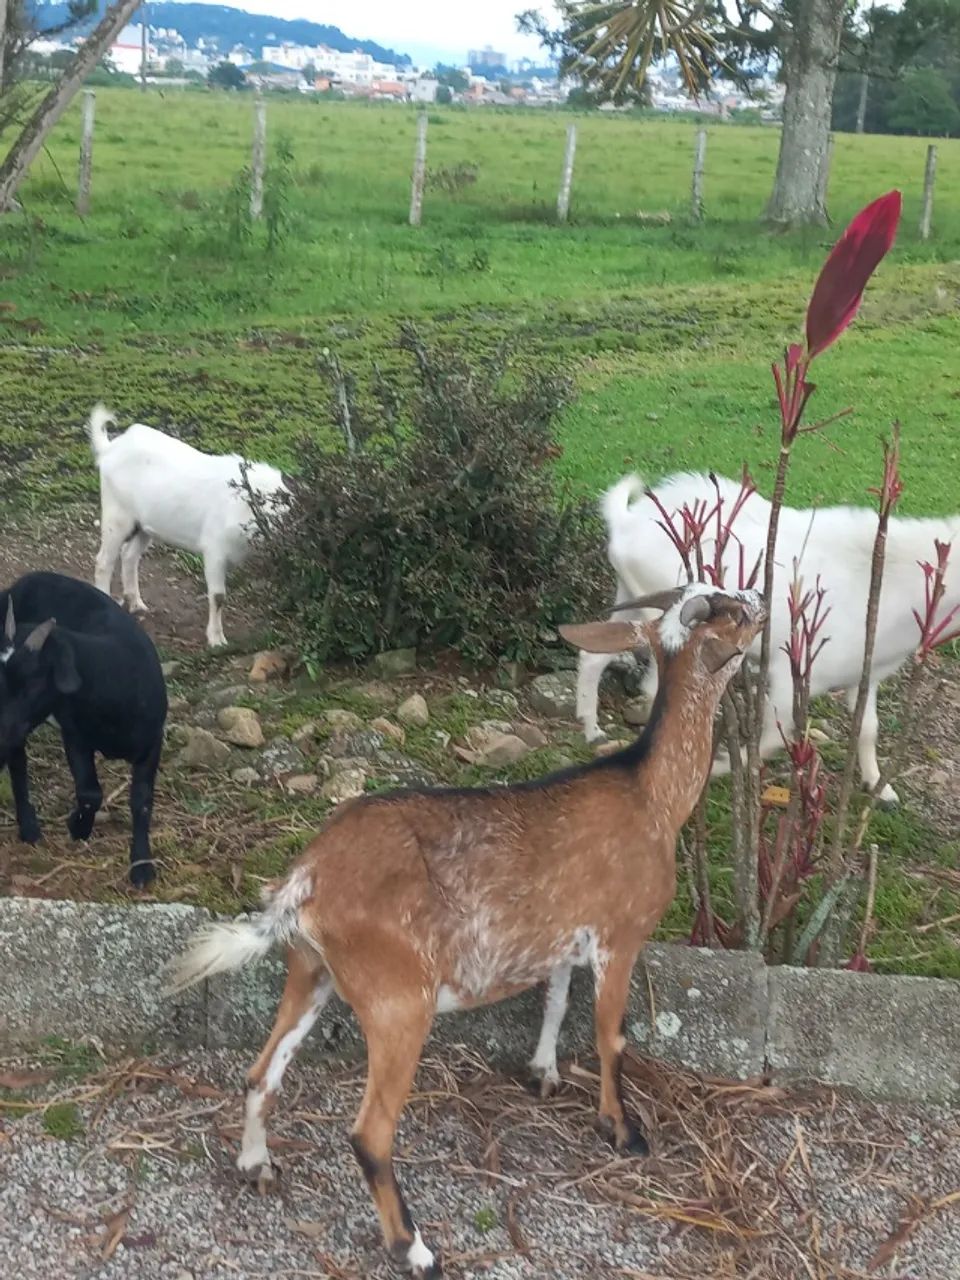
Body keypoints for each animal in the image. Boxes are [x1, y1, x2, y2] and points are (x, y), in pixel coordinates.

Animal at [0, 571, 167, 888]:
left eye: (33, 682)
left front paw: (142, 866)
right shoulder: (75, 735)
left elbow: (141, 801)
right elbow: (90, 792)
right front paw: (78, 827)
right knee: (18, 761)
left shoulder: (152, 744)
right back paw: (29, 827)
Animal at [86, 403, 287, 647]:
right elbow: (218, 596)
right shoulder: (214, 549)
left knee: (129, 555)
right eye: (273, 510)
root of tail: (110, 449)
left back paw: (136, 604)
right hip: (116, 515)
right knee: (104, 561)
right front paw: (217, 640)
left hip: (144, 525)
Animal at [165, 583, 765, 1279]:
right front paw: (623, 1131)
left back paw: (257, 1166)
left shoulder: (563, 934)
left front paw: (542, 1073)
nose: (760, 597)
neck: (651, 793)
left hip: (310, 971)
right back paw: (414, 1248)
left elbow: (556, 999)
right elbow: (610, 1037)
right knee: (369, 1132)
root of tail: (304, 879)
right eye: (731, 612)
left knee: (261, 1073)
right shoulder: (621, 934)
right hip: (398, 1001)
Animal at [578, 474, 960, 807]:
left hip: (629, 597)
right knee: (652, 683)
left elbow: (868, 728)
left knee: (595, 654)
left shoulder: (865, 674)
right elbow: (776, 736)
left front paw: (882, 791)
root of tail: (624, 524)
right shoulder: (794, 670)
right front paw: (722, 766)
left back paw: (592, 730)